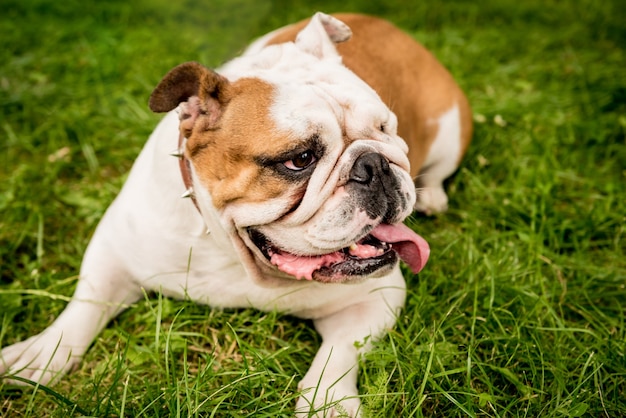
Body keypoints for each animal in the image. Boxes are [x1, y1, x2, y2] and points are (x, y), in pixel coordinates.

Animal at [0, 11, 468, 416]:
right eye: (299, 159)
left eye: (386, 128)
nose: (375, 165)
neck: (235, 255)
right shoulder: (115, 250)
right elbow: (85, 303)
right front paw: (42, 354)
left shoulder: (373, 297)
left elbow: (337, 357)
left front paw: (328, 404)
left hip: (450, 134)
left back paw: (432, 195)